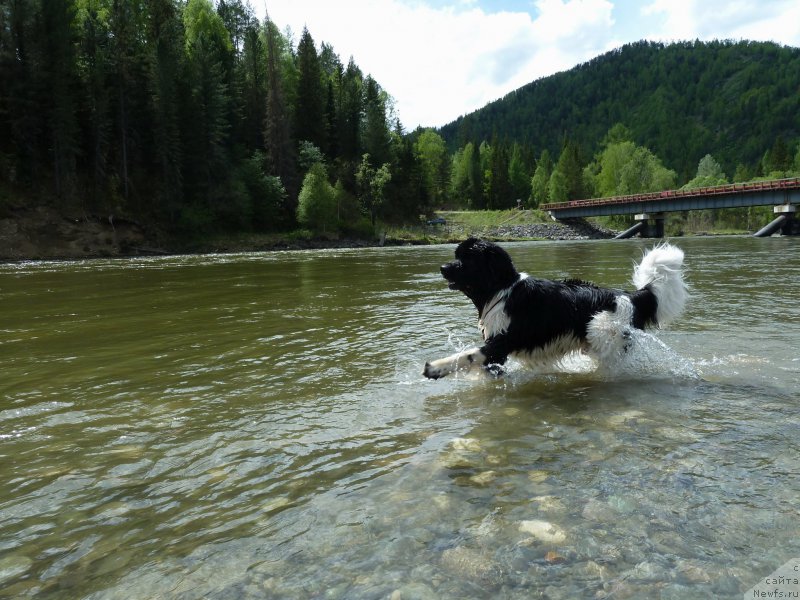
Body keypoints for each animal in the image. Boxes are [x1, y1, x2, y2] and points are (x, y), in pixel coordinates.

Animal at [424, 236, 688, 380]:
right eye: (457, 255)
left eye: (467, 259)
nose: (442, 267)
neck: (501, 290)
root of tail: (630, 296)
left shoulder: (501, 344)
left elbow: (467, 354)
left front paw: (435, 368)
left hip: (606, 338)